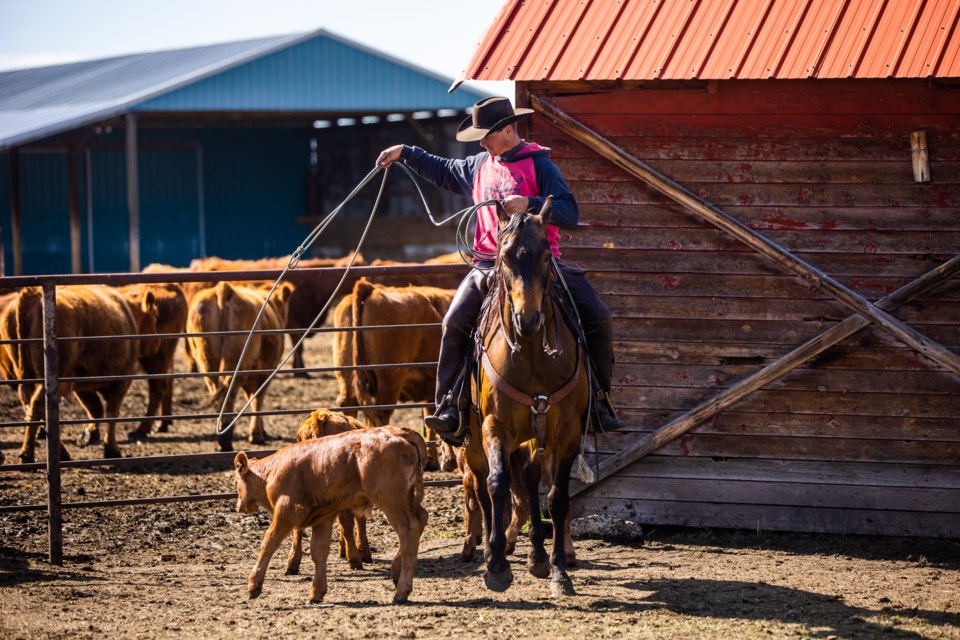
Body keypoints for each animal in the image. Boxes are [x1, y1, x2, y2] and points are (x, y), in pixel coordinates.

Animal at [4, 284, 158, 460]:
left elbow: (95, 408)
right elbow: (111, 411)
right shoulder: (122, 379)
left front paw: (90, 434)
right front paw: (111, 449)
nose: (156, 342)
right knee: (38, 405)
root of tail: (33, 293)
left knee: (31, 406)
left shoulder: (81, 384)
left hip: (27, 375)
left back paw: (57, 452)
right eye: (155, 315)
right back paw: (29, 454)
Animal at [186, 280, 294, 450]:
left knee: (217, 393)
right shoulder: (266, 372)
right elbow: (257, 399)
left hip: (207, 361)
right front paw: (257, 435)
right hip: (236, 362)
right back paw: (226, 439)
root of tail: (224, 288)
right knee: (229, 395)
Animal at [232, 428, 428, 604]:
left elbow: (269, 543)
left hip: (391, 501)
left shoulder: (286, 514)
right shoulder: (323, 517)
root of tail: (401, 433)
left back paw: (401, 591)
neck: (272, 471)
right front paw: (316, 592)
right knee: (421, 519)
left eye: (236, 482)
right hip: (407, 500)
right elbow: (319, 552)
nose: (239, 506)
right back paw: (396, 572)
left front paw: (254, 585)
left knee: (408, 532)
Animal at [464, 195, 588, 596]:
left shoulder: (567, 432)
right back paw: (491, 549)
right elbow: (497, 484)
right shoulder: (494, 426)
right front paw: (496, 566)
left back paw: (536, 555)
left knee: (532, 481)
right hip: (474, 442)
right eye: (504, 257)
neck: (532, 354)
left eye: (546, 256)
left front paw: (559, 571)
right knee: (483, 488)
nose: (528, 319)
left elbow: (557, 498)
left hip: (535, 436)